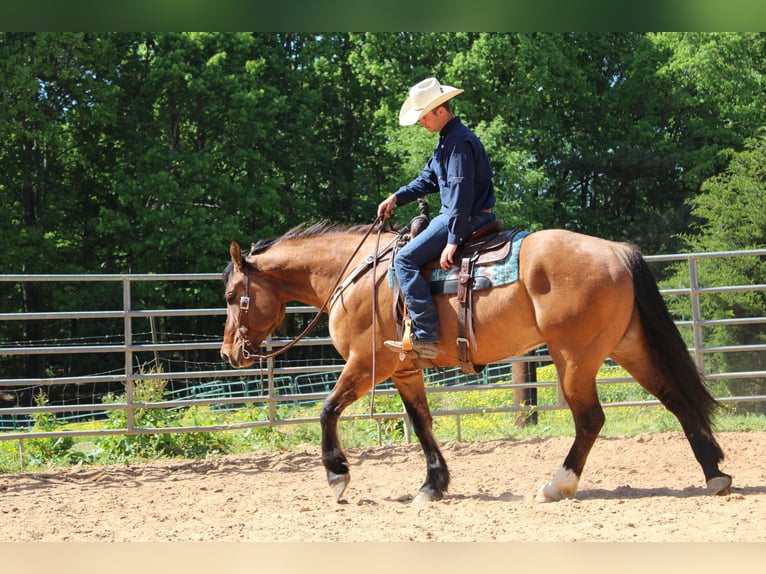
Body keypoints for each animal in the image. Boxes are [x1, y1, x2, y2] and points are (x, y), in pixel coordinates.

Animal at [219, 223, 736, 506]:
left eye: (229, 296)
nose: (229, 352)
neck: (356, 275)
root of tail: (615, 251)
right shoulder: (404, 370)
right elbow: (423, 424)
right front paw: (433, 484)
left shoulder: (368, 365)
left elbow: (328, 410)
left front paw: (337, 476)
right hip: (626, 347)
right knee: (677, 398)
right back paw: (714, 474)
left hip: (575, 358)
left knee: (590, 418)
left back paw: (556, 485)